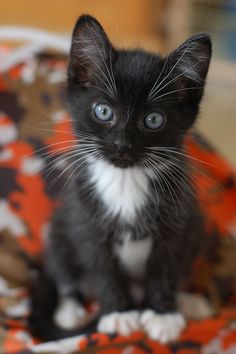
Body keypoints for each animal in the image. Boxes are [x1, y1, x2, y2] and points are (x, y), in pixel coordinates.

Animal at [28, 14, 211, 342]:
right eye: (103, 111)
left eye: (153, 120)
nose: (122, 144)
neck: (126, 181)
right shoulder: (86, 222)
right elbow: (102, 268)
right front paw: (117, 313)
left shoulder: (178, 222)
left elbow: (166, 267)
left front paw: (163, 315)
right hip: (61, 224)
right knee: (62, 270)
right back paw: (70, 310)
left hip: (197, 224)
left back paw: (188, 301)